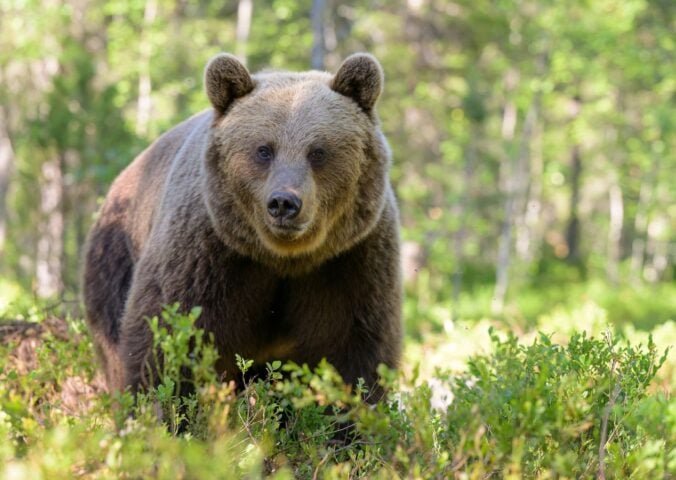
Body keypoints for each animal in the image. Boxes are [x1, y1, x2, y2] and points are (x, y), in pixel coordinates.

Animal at [84, 51, 402, 398]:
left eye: (318, 151)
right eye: (264, 150)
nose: (284, 203)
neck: (284, 258)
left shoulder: (350, 261)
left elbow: (354, 352)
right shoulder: (207, 253)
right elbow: (168, 340)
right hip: (114, 260)